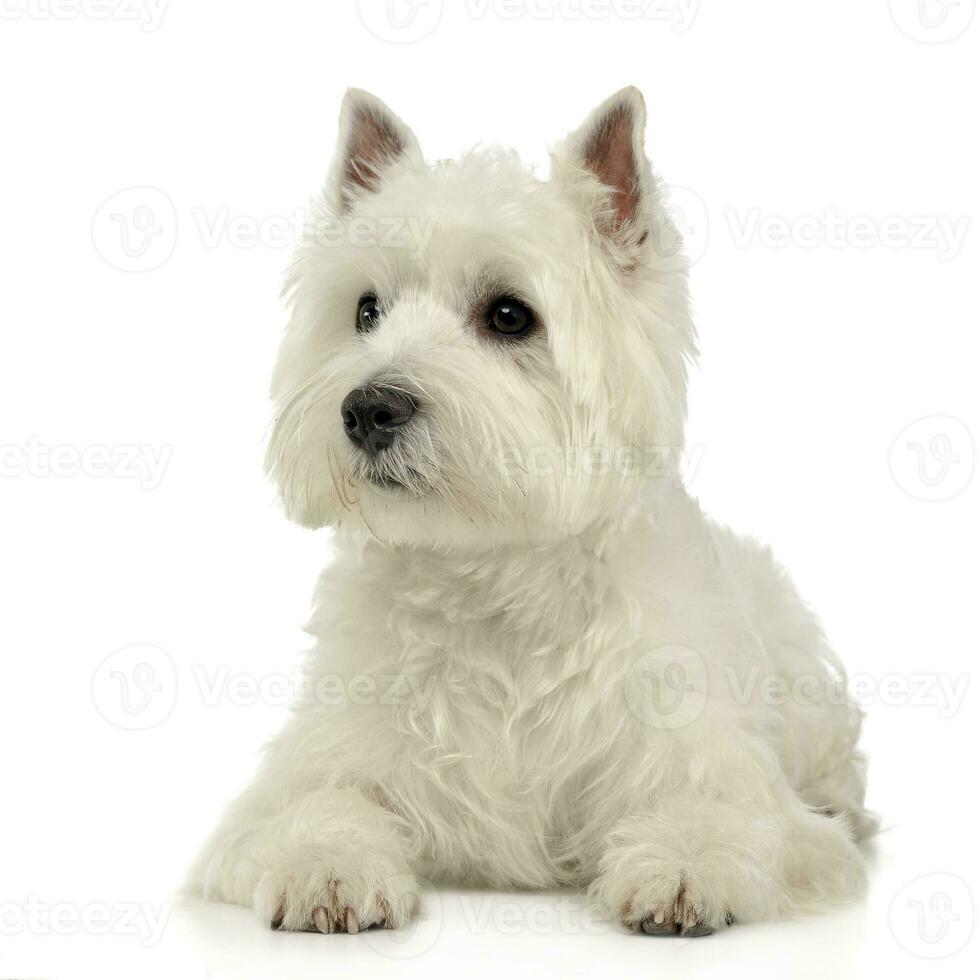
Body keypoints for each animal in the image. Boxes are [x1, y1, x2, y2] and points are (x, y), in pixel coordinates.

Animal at [188, 84, 876, 936]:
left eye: (509, 315)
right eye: (366, 311)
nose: (367, 408)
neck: (494, 578)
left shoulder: (707, 757)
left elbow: (724, 814)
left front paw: (682, 869)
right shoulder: (317, 762)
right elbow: (308, 807)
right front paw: (328, 868)